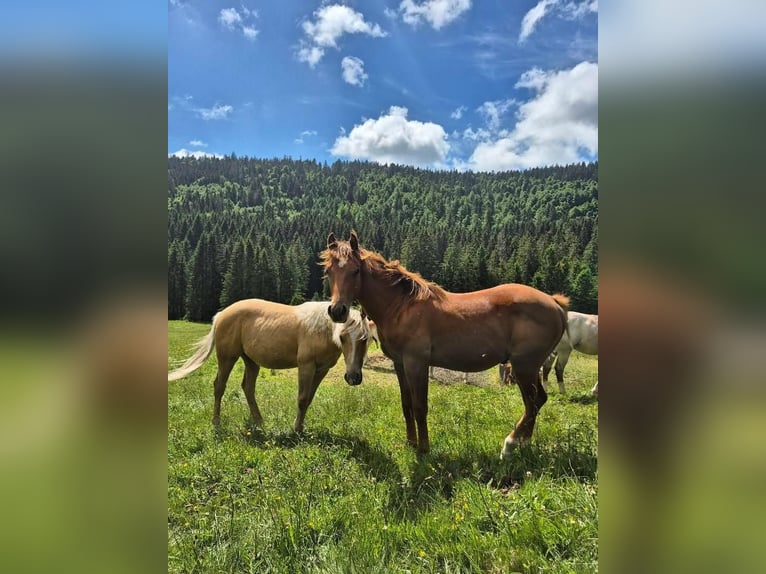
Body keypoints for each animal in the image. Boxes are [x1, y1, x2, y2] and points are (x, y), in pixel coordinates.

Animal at [168, 299, 370, 432]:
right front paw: (296, 430)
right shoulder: (306, 366)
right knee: (219, 386)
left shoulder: (322, 369)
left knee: (248, 387)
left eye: (365, 338)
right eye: (342, 337)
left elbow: (309, 399)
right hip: (227, 357)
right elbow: (302, 398)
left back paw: (259, 422)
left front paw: (301, 427)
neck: (322, 330)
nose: (353, 377)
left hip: (251, 361)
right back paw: (216, 422)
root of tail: (220, 315)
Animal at [322, 231, 569, 459]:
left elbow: (420, 407)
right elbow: (406, 404)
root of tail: (554, 303)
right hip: (529, 367)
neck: (401, 306)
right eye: (328, 272)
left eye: (355, 271)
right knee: (537, 401)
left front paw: (423, 449)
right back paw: (523, 444)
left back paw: (509, 445)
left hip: (523, 367)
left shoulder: (416, 363)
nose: (338, 311)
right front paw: (410, 443)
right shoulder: (400, 364)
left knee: (533, 402)